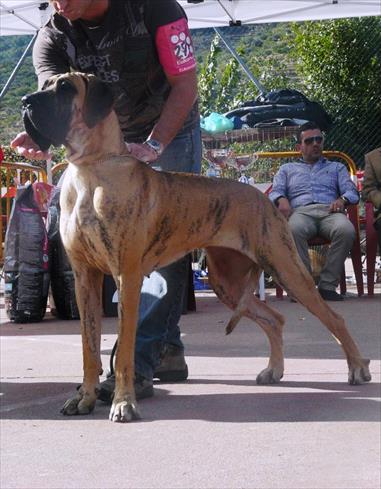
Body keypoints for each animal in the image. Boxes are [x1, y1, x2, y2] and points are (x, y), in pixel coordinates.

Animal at [20, 71, 368, 420]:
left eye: (66, 88)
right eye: (46, 83)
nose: (25, 102)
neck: (91, 168)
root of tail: (263, 197)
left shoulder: (127, 277)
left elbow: (125, 351)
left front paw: (123, 403)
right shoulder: (84, 278)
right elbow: (89, 347)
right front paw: (85, 397)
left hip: (286, 267)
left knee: (333, 319)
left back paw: (357, 368)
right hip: (226, 281)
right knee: (274, 319)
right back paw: (274, 370)